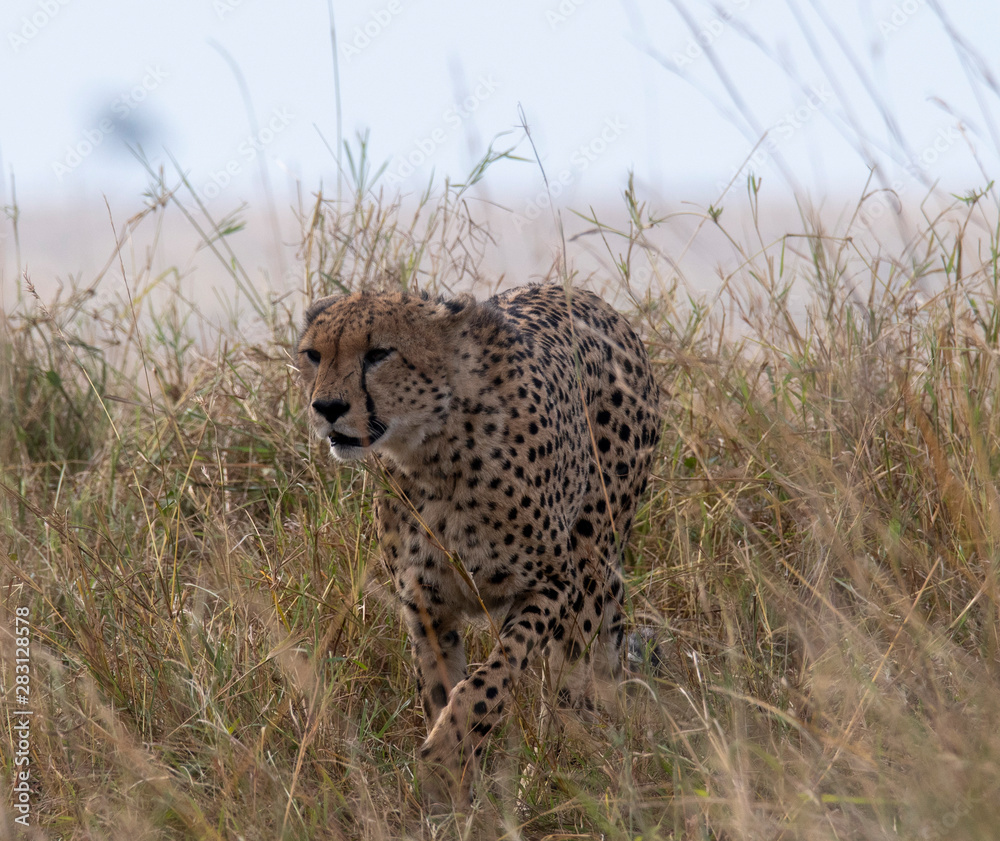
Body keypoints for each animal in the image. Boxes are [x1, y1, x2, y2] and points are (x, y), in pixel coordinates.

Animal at [296, 283, 661, 809]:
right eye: (313, 354)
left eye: (379, 354)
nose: (326, 407)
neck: (434, 452)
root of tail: (588, 296)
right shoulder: (425, 603)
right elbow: (441, 686)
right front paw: (453, 791)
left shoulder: (553, 584)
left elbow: (488, 681)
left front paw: (448, 753)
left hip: (593, 560)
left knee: (569, 683)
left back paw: (554, 766)